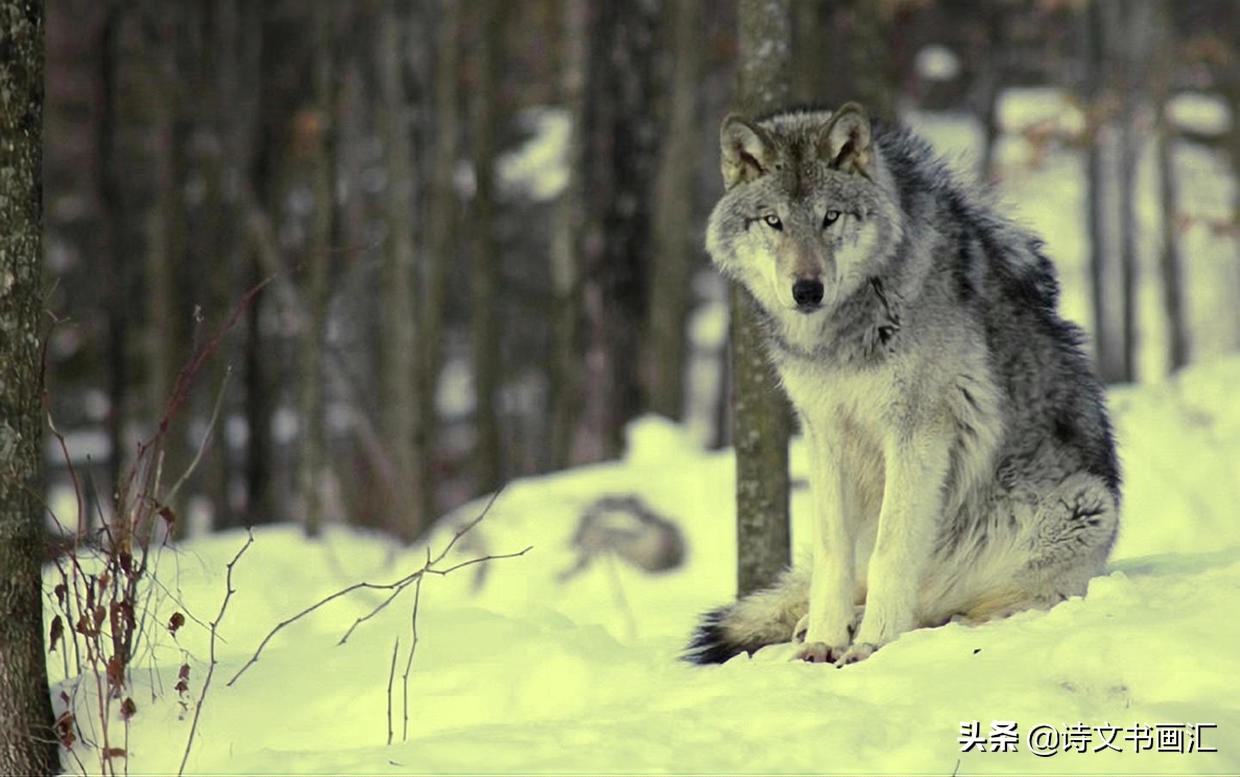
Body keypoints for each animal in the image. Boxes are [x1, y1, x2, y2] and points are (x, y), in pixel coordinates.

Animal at [689, 100, 1125, 664]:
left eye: (830, 217)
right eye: (774, 221)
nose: (807, 290)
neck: (843, 334)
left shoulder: (918, 433)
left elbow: (890, 551)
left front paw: (872, 644)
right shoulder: (825, 434)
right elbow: (833, 555)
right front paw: (825, 640)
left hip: (1082, 507)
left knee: (956, 606)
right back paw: (820, 624)